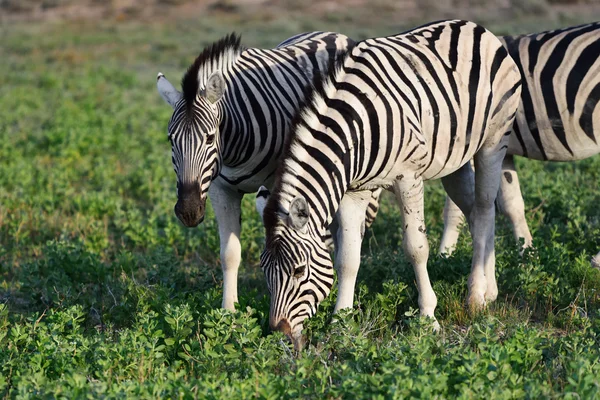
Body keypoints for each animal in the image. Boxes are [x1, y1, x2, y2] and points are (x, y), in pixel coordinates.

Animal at [155, 32, 368, 310]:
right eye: (171, 140)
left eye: (210, 138)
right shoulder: (221, 190)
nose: (189, 212)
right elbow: (229, 254)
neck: (233, 147)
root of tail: (332, 34)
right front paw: (228, 312)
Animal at [255, 20, 524, 348]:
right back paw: (490, 289)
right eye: (264, 269)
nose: (279, 333)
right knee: (474, 213)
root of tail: (476, 28)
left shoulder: (408, 178)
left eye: (298, 270)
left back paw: (475, 297)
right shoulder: (354, 190)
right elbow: (347, 258)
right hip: (454, 162)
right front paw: (340, 322)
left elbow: (416, 248)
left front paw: (428, 317)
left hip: (493, 142)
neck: (355, 129)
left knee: (485, 210)